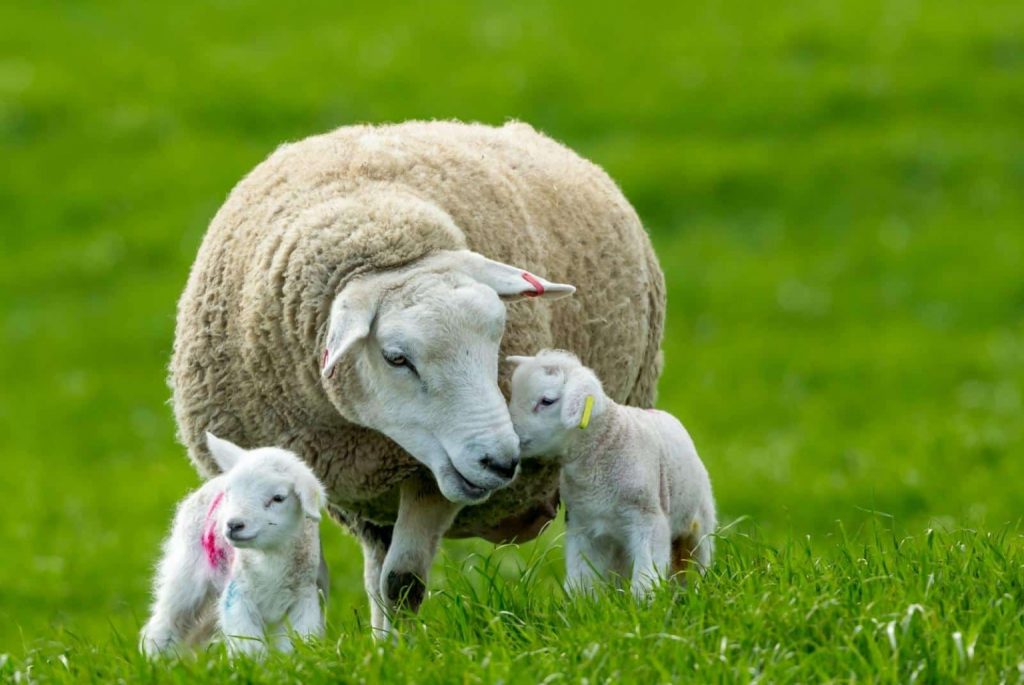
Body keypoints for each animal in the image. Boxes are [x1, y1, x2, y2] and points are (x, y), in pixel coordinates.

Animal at [140, 433, 327, 657]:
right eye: (230, 493)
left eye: (278, 498)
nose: (233, 525)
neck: (269, 557)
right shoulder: (238, 596)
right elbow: (249, 645)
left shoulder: (304, 599)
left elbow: (295, 643)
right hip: (186, 573)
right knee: (167, 619)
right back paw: (156, 658)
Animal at [170, 120, 666, 633]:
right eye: (396, 358)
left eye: (498, 337)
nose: (500, 462)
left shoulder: (429, 480)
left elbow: (401, 581)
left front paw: (402, 647)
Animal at [507, 350, 716, 598]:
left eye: (546, 401)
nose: (511, 436)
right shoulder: (582, 524)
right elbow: (580, 577)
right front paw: (579, 604)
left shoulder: (648, 519)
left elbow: (645, 574)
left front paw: (643, 603)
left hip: (701, 521)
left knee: (700, 561)